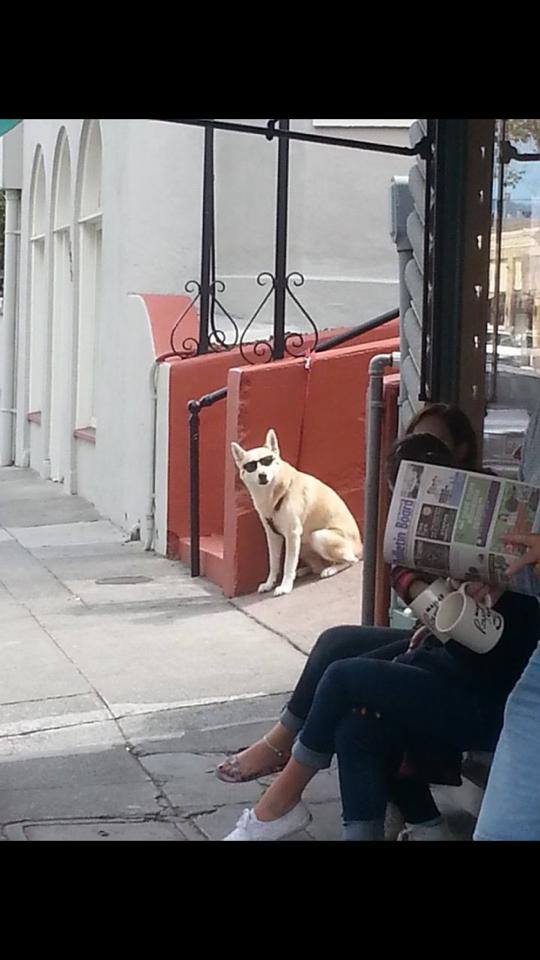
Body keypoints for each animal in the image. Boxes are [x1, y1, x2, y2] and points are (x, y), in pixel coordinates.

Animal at [232, 430, 362, 596]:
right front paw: (269, 583)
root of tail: (360, 547)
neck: (276, 493)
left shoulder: (292, 535)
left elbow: (288, 564)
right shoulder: (272, 535)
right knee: (317, 566)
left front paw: (285, 586)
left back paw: (331, 569)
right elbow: (274, 563)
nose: (262, 475)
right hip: (304, 545)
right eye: (251, 466)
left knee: (350, 560)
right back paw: (306, 570)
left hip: (318, 536)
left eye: (267, 460)